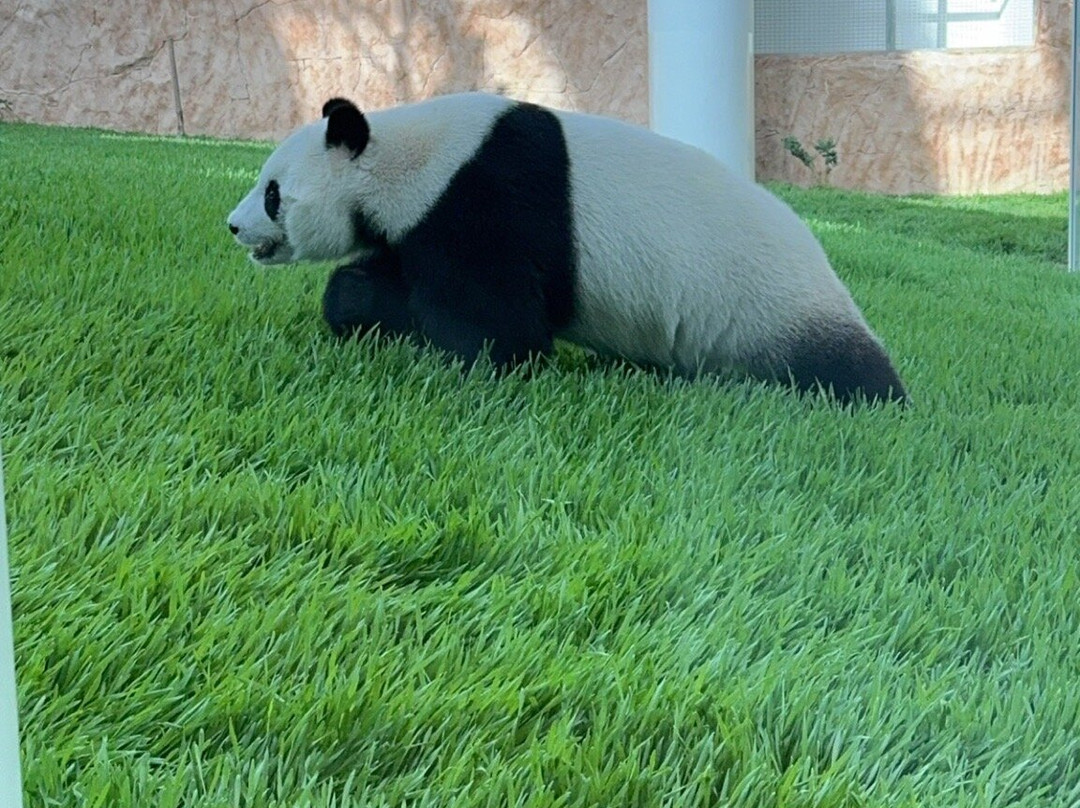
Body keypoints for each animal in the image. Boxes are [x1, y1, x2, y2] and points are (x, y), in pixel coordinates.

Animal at [227, 92, 906, 404]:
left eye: (272, 192)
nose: (233, 227)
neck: (406, 156)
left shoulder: (484, 198)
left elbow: (499, 325)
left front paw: (466, 360)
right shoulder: (423, 218)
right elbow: (383, 280)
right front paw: (357, 307)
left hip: (768, 304)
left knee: (838, 368)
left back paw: (874, 395)